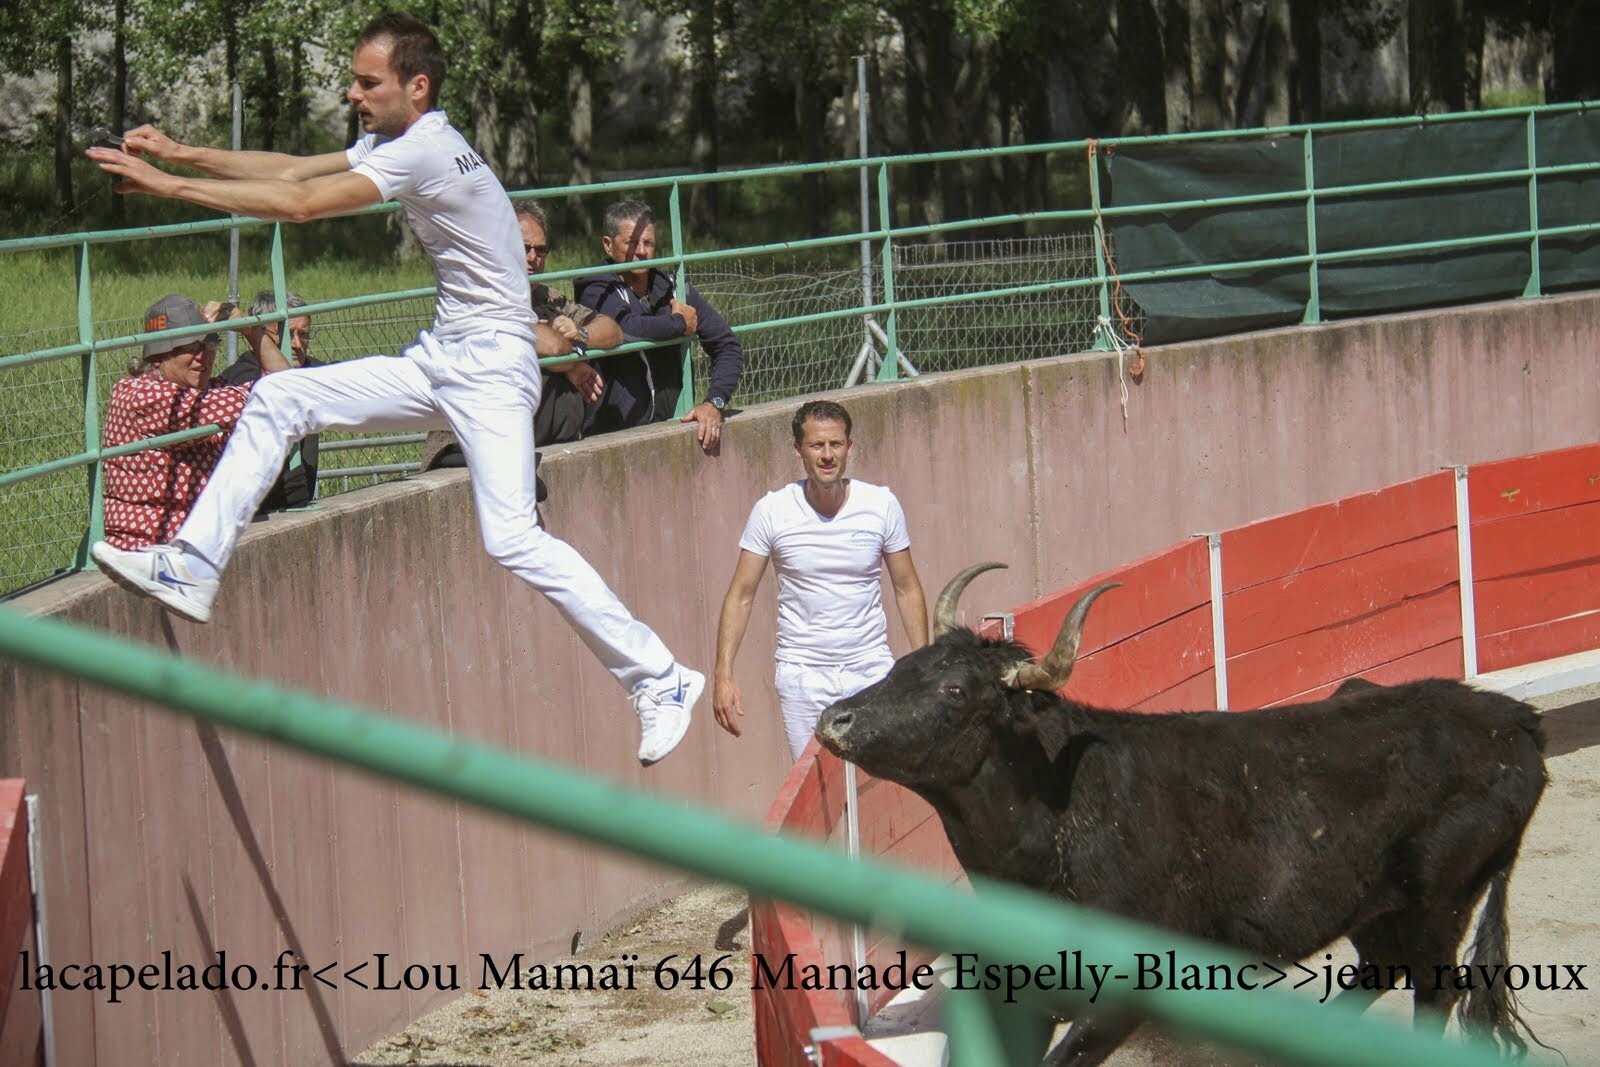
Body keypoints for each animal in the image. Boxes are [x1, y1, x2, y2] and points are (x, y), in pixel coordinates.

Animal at [819, 563, 1542, 1062]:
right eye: (907, 662)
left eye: (954, 689)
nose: (834, 719)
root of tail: (1512, 719)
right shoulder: (1022, 992)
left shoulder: (1120, 994)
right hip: (1372, 904)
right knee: (1380, 968)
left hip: (1441, 901)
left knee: (1432, 992)